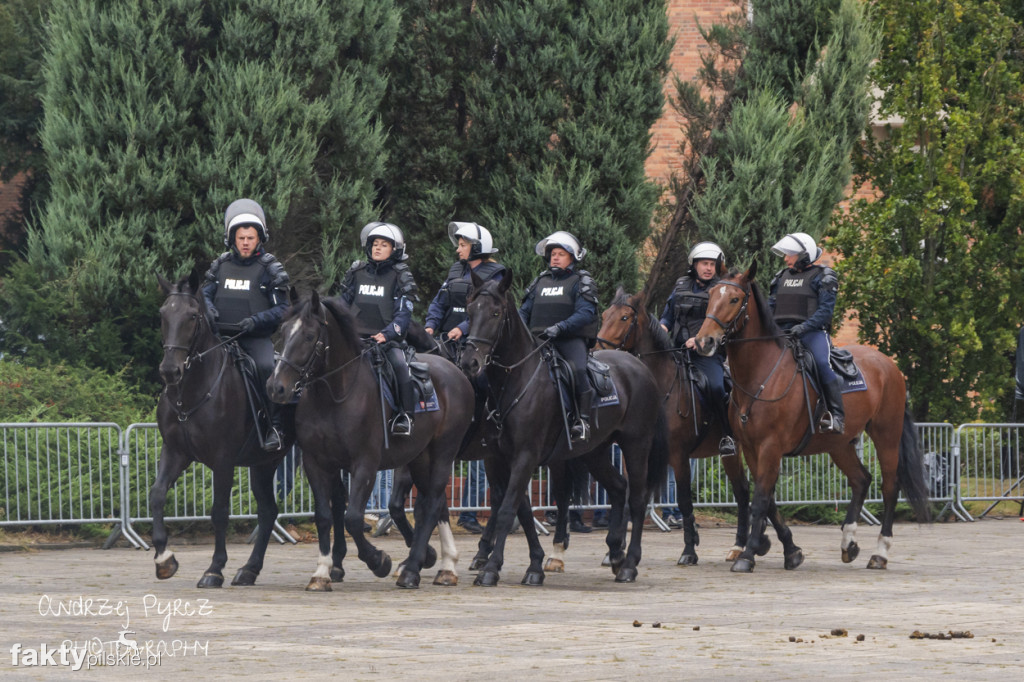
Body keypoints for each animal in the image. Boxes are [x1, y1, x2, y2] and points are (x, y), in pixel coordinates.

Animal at [150, 270, 299, 585]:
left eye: (193, 316)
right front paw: (164, 559)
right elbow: (157, 494)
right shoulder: (175, 452)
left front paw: (214, 569)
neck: (190, 393)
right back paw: (249, 569)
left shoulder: (223, 460)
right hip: (264, 464)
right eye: (162, 314)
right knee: (269, 511)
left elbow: (219, 511)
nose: (170, 370)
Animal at [268, 288, 475, 585]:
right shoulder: (316, 463)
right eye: (284, 331)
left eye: (308, 335)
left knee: (433, 501)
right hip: (419, 457)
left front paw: (379, 560)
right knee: (434, 504)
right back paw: (441, 562)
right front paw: (322, 571)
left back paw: (415, 568)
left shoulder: (364, 463)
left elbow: (353, 517)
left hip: (444, 452)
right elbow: (325, 516)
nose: (276, 387)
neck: (334, 396)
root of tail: (456, 372)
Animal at [458, 270, 667, 585]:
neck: (517, 380)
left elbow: (507, 509)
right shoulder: (502, 457)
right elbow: (521, 510)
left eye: (495, 313)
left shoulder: (525, 456)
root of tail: (640, 367)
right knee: (619, 488)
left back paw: (629, 564)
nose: (470, 362)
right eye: (470, 311)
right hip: (594, 451)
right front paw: (534, 565)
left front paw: (492, 568)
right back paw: (614, 553)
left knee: (638, 498)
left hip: (636, 444)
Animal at [593, 284, 753, 561]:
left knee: (745, 492)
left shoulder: (678, 456)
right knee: (743, 491)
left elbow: (684, 501)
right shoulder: (633, 453)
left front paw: (689, 550)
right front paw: (617, 548)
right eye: (604, 316)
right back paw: (739, 546)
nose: (596, 350)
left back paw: (741, 546)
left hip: (736, 450)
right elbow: (629, 495)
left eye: (624, 318)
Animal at [696, 262, 929, 569]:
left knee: (890, 486)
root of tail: (891, 367)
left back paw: (880, 552)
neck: (761, 373)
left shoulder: (770, 446)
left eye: (734, 299)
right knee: (861, 480)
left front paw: (748, 555)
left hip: (886, 436)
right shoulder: (749, 448)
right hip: (839, 444)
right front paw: (788, 550)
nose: (704, 341)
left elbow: (761, 498)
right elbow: (767, 498)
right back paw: (848, 543)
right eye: (711, 295)